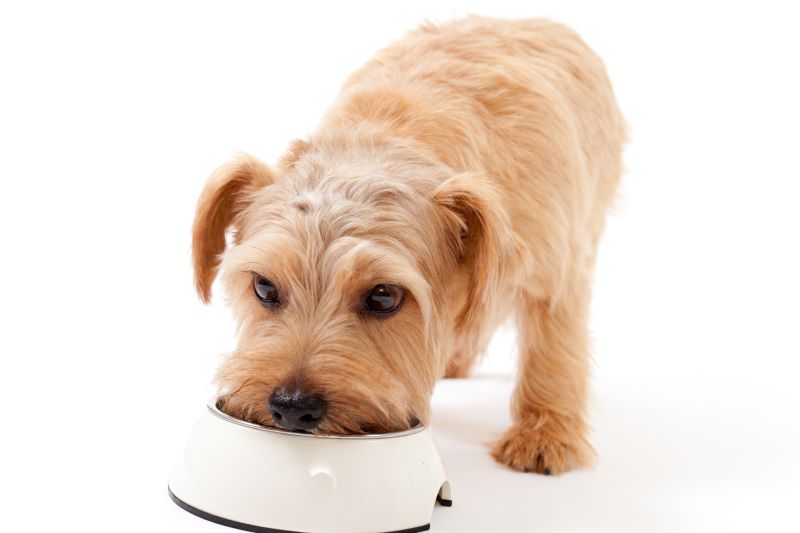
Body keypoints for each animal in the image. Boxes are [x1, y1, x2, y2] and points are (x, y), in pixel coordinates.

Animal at [192, 17, 624, 474]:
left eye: (384, 297)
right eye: (264, 287)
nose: (292, 406)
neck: (386, 139)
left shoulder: (556, 271)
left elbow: (554, 348)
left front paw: (544, 434)